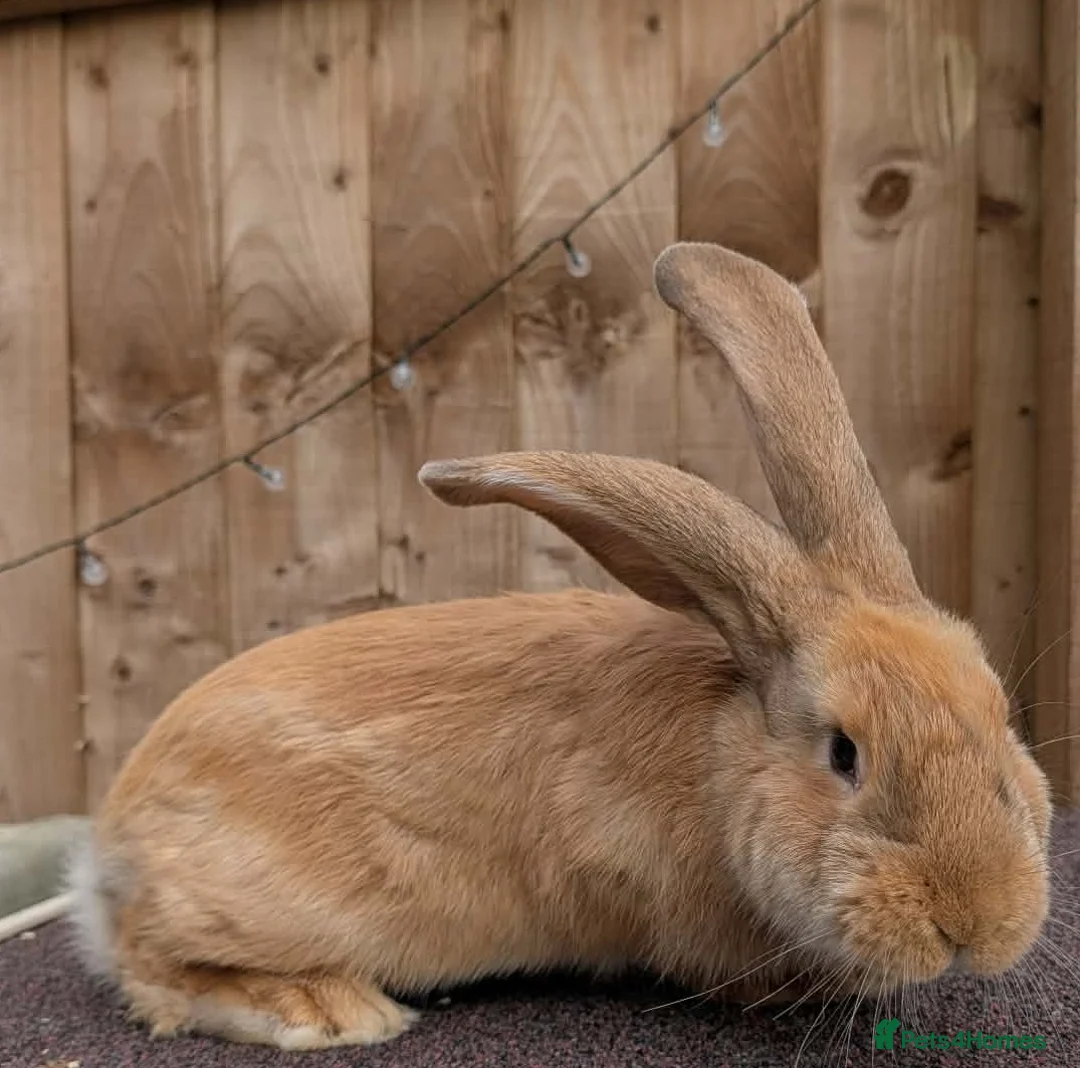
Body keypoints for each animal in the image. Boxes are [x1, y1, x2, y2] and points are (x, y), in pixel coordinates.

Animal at [66, 241, 1052, 1051]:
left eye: (1000, 715)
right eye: (844, 753)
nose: (976, 921)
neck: (718, 762)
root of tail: (110, 846)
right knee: (154, 969)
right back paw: (326, 1011)